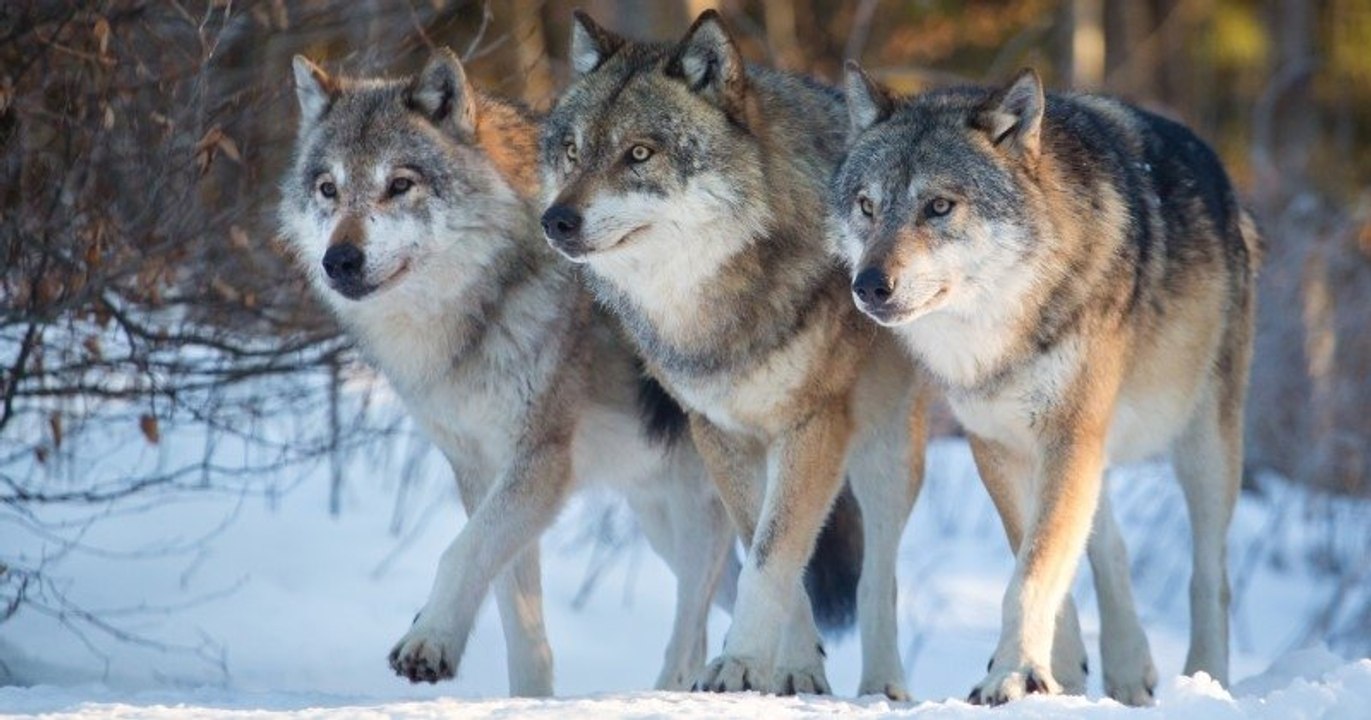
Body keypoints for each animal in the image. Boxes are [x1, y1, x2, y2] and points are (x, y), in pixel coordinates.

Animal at [280, 49, 745, 695]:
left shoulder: (540, 462)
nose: (339, 260)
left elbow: (460, 553)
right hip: (665, 521)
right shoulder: (480, 470)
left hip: (705, 508)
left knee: (698, 630)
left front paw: (428, 640)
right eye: (328, 188)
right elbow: (516, 616)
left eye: (399, 185)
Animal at [538, 11, 930, 699]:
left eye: (639, 153)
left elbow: (775, 555)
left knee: (879, 577)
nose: (555, 220)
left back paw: (884, 687)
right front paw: (785, 668)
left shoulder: (813, 426)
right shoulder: (718, 432)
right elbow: (768, 550)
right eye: (573, 152)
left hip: (884, 452)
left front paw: (740, 662)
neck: (716, 307)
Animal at [835, 64, 1260, 705]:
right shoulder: (999, 445)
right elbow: (1034, 558)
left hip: (1202, 446)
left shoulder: (1067, 434)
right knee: (1109, 546)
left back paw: (1205, 681)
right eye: (867, 205)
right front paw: (1051, 670)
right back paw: (1128, 668)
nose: (868, 285)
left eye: (939, 206)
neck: (1002, 329)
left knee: (1211, 576)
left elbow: (1032, 572)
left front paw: (1013, 674)